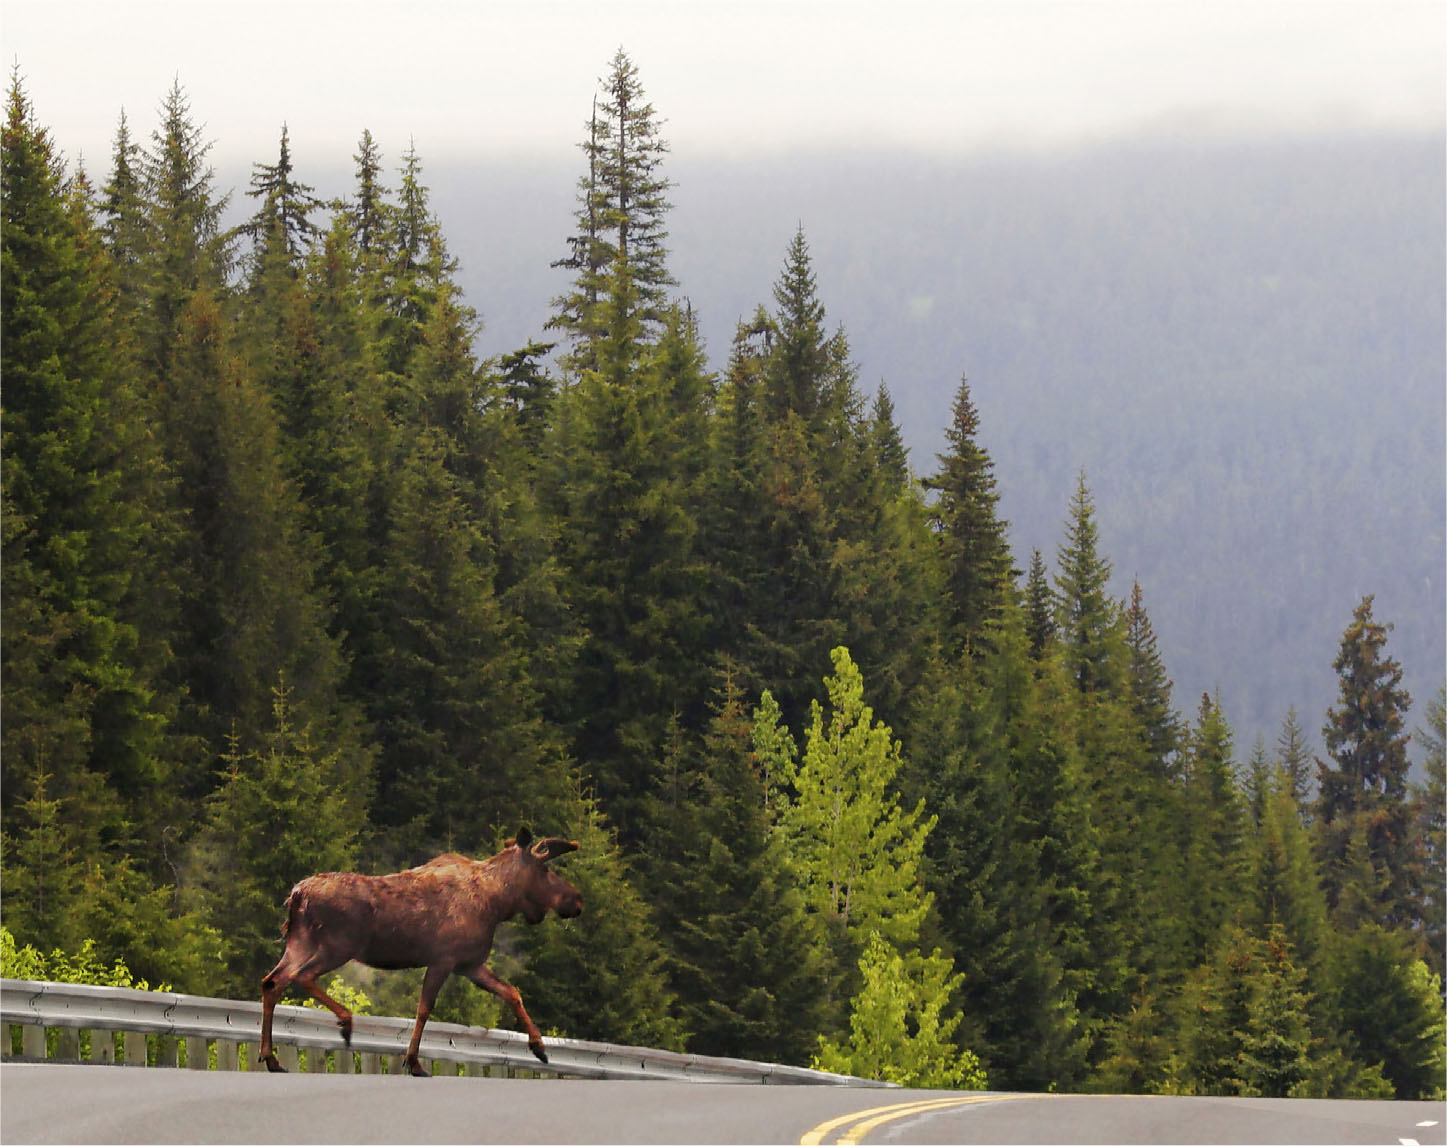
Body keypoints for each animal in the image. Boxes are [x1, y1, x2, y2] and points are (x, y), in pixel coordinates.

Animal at [260, 821, 581, 1076]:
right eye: (544, 868)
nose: (576, 899)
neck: (497, 902)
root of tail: (297, 895)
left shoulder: (470, 964)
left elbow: (511, 992)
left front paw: (540, 1048)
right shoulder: (444, 959)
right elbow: (424, 1008)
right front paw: (413, 1062)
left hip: (300, 943)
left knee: (273, 981)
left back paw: (271, 1058)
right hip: (337, 946)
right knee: (300, 977)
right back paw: (345, 1022)